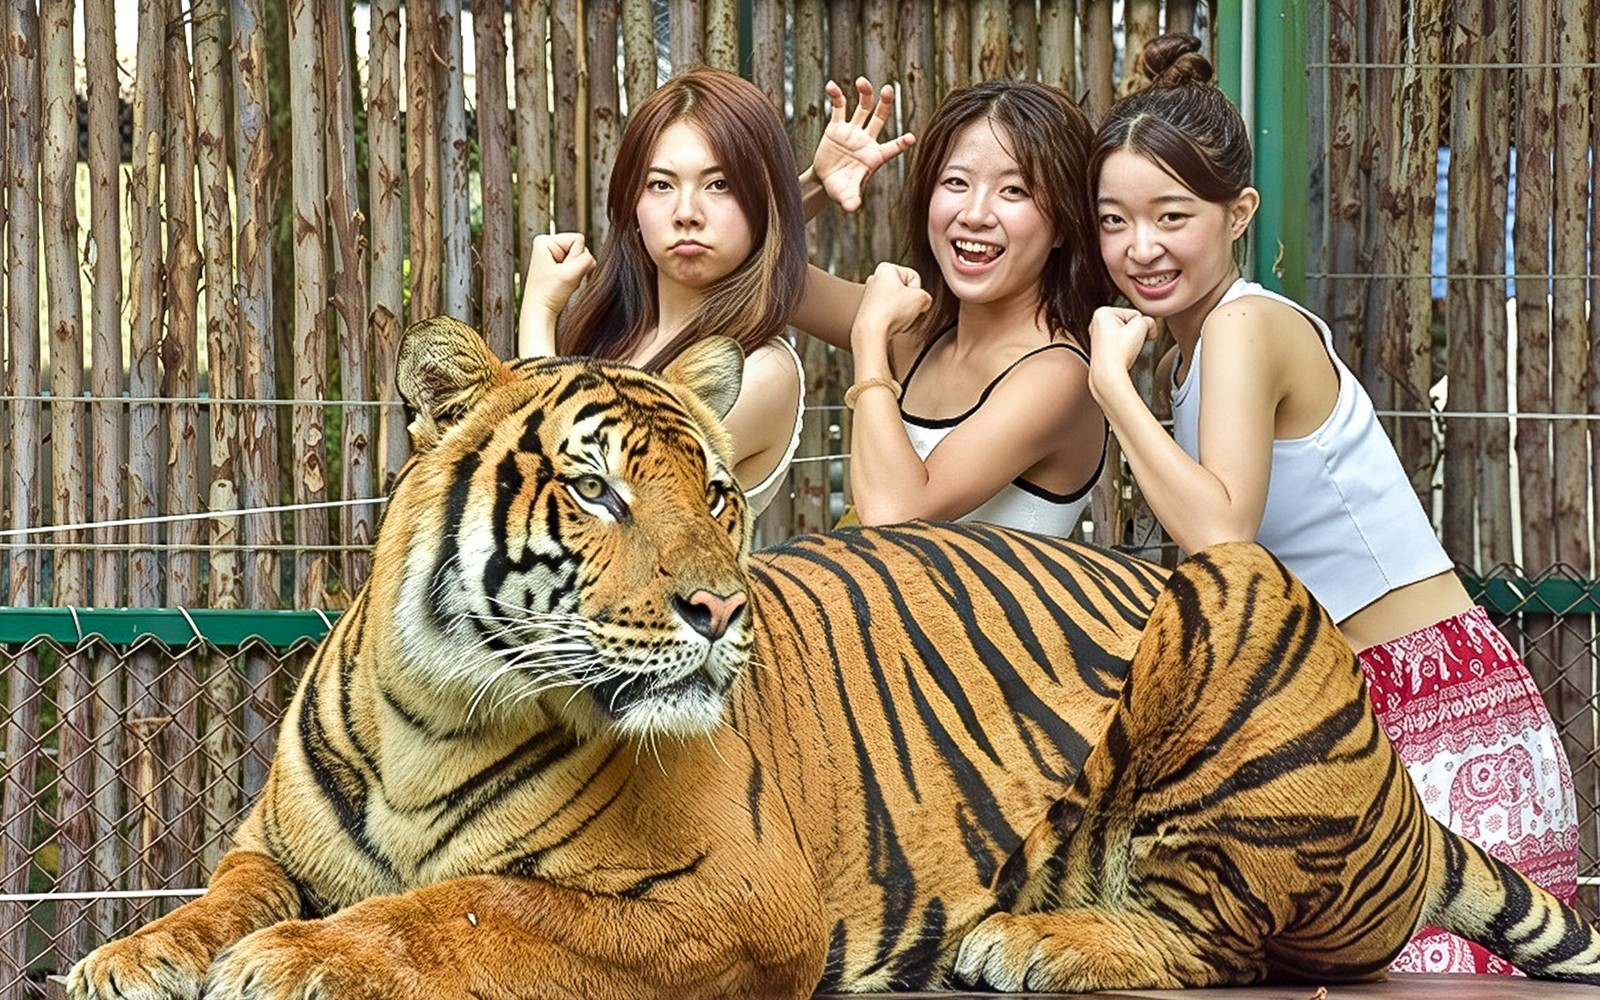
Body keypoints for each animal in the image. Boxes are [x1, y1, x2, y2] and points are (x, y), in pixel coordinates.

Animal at [66, 316, 1600, 999]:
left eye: (717, 492)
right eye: (597, 493)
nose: (714, 610)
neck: (433, 708)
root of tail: (1402, 801)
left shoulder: (727, 894)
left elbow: (474, 908)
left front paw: (302, 959)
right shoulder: (269, 844)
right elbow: (216, 896)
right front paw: (128, 957)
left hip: (1238, 600)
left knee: (1222, 937)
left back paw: (1034, 936)